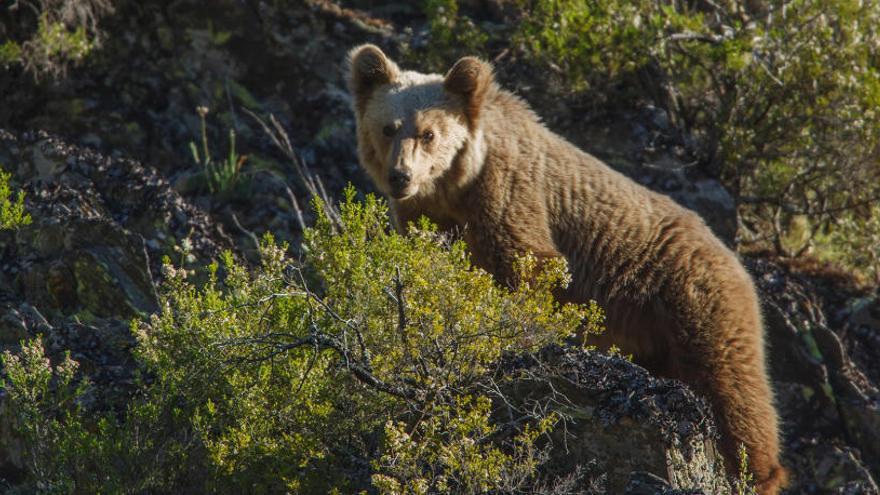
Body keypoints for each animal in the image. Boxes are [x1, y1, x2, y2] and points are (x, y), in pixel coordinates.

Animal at [348, 44, 788, 494]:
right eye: (388, 128)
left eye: (428, 133)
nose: (400, 176)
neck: (456, 189)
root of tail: (734, 257)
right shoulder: (428, 218)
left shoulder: (509, 195)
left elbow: (526, 268)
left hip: (693, 300)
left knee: (730, 387)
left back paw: (756, 472)